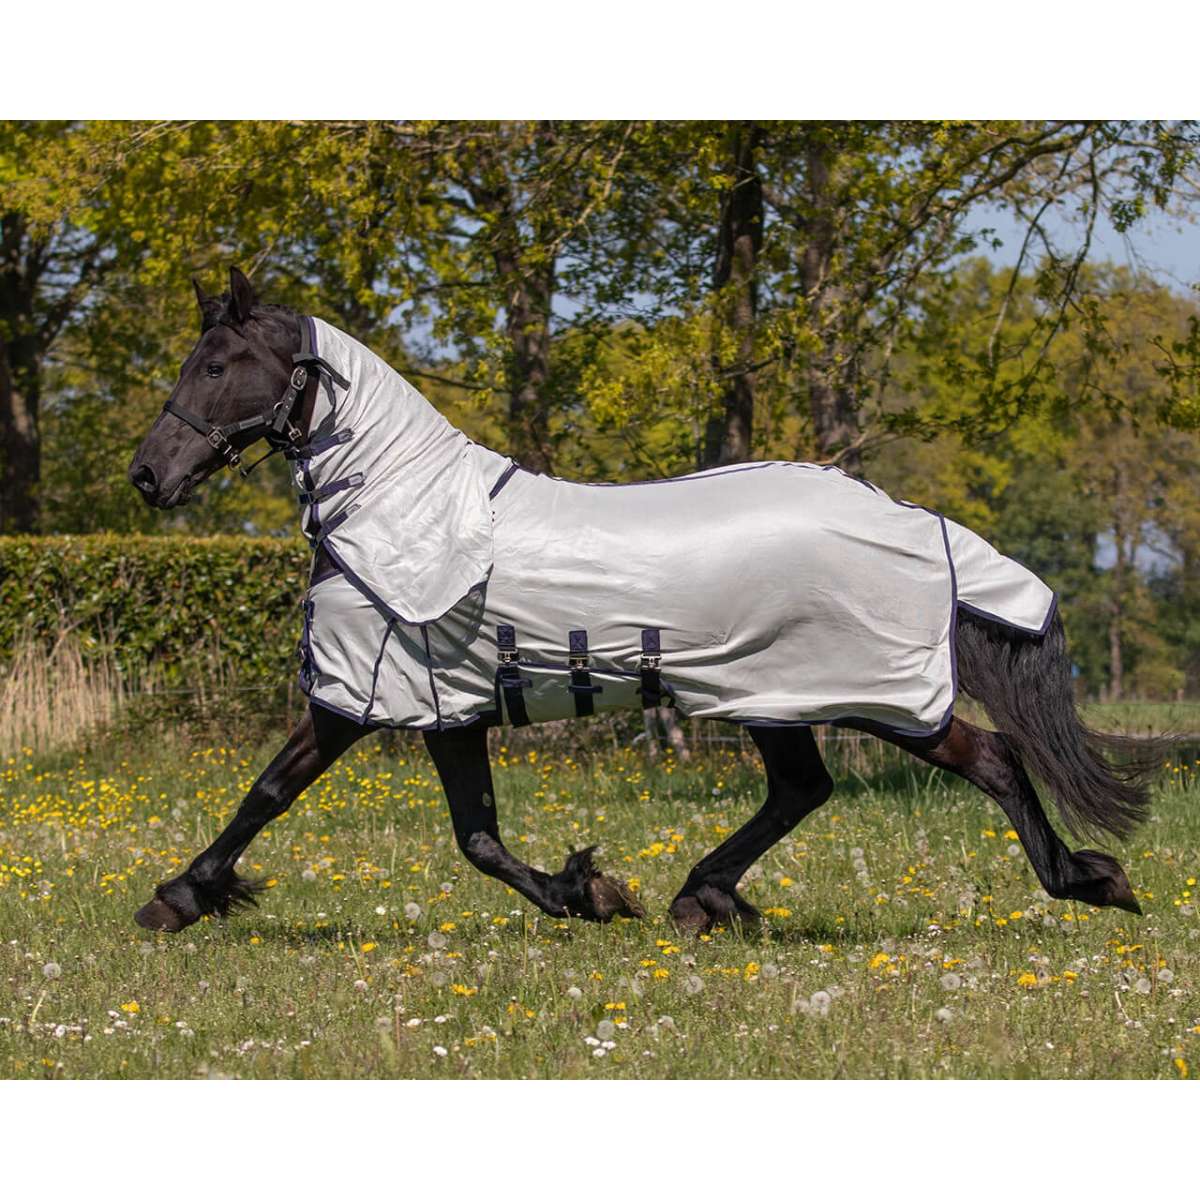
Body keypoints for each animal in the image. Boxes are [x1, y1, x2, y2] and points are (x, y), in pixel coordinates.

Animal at [127, 266, 1152, 936]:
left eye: (213, 365)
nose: (147, 477)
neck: (401, 509)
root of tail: (903, 516)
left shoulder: (375, 699)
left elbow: (273, 790)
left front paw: (177, 897)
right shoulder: (446, 707)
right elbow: (476, 836)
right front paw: (589, 891)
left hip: (868, 693)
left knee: (990, 759)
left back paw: (1091, 881)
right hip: (774, 698)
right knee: (805, 789)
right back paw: (704, 897)